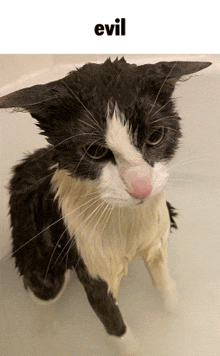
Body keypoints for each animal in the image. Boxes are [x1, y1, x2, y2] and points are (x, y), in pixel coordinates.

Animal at [0, 57, 211, 336]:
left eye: (156, 136)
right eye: (94, 151)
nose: (141, 187)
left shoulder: (156, 245)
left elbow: (166, 286)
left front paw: (175, 315)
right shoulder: (93, 269)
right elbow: (116, 328)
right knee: (43, 290)